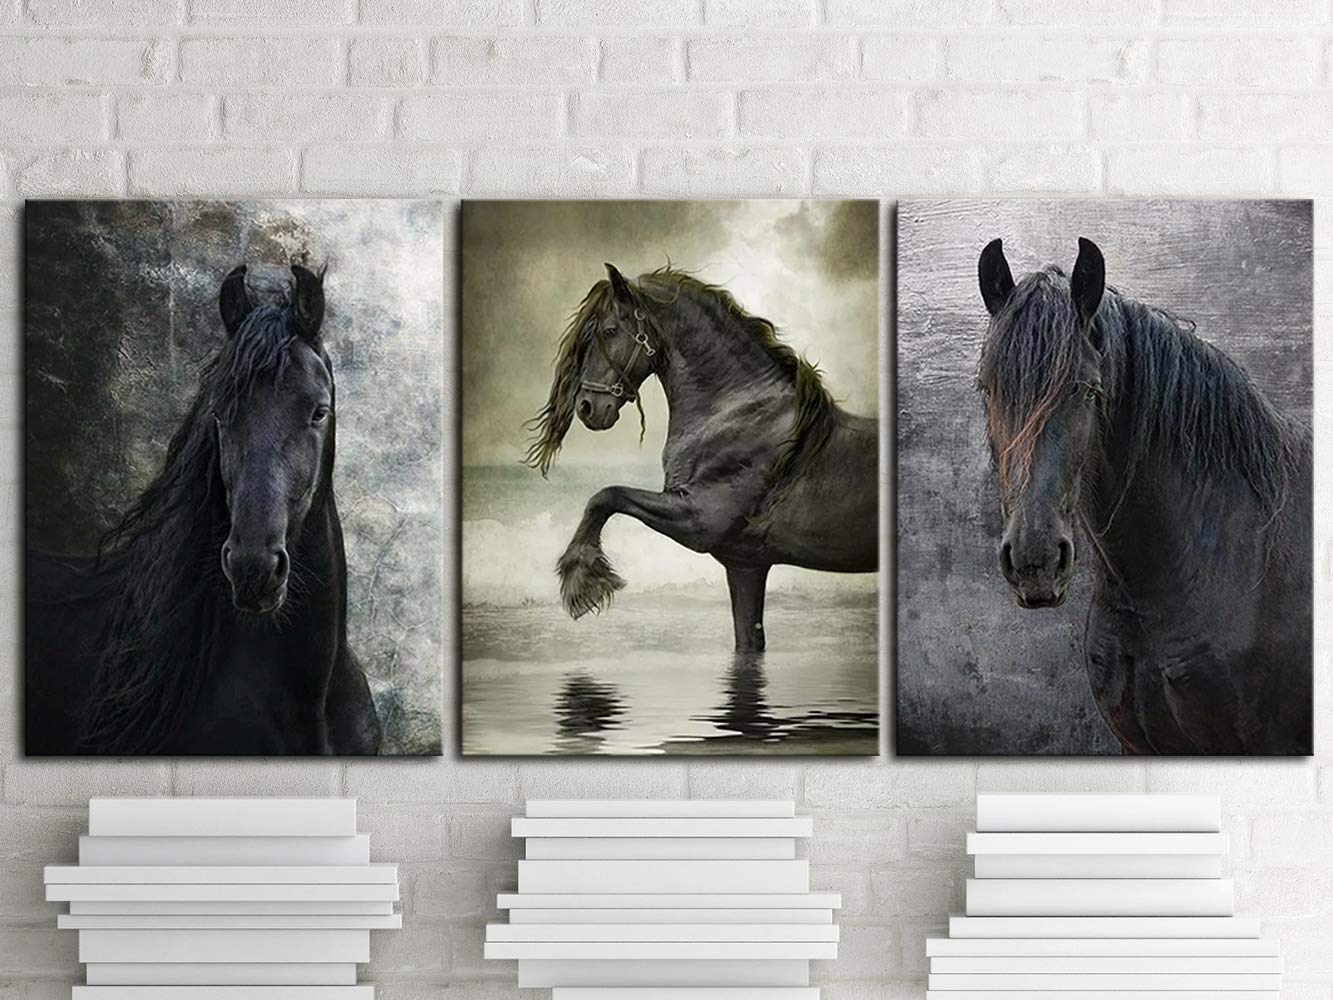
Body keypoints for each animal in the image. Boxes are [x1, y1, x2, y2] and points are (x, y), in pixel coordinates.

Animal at [524, 263, 877, 653]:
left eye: (609, 330)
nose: (587, 407)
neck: (735, 411)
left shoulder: (698, 521)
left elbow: (606, 496)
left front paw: (583, 581)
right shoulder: (745, 565)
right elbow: (748, 640)